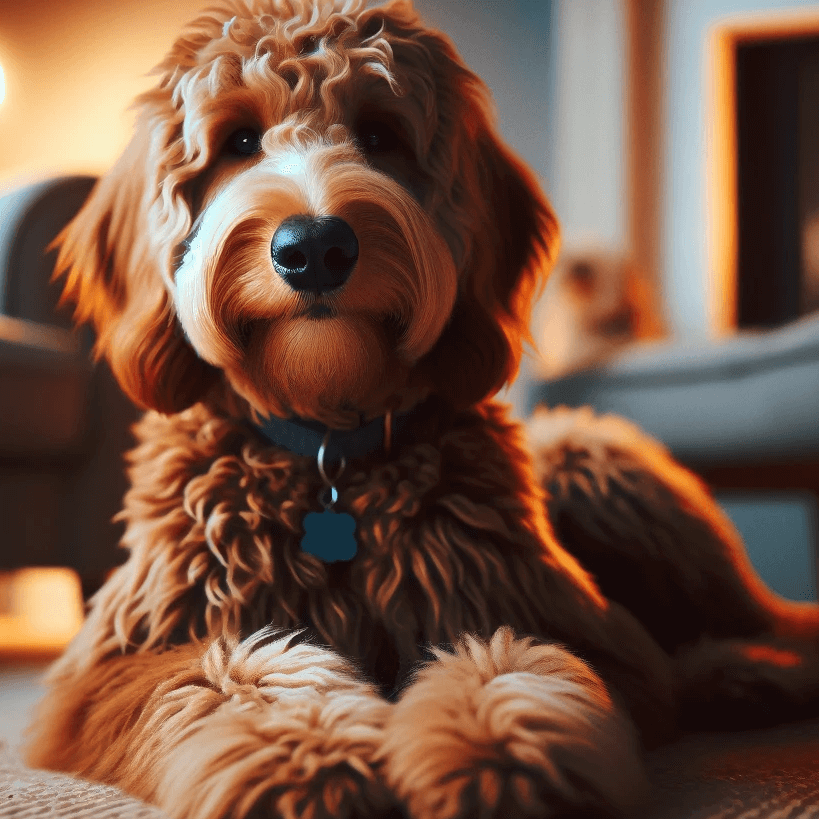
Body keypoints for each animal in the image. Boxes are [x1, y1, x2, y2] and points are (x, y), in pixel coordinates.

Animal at [24, 1, 819, 819]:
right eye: (238, 140)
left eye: (381, 134)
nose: (314, 247)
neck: (328, 447)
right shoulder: (110, 666)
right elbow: (227, 673)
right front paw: (308, 755)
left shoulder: (561, 620)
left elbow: (515, 661)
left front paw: (500, 759)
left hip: (592, 459)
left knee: (773, 622)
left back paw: (749, 670)